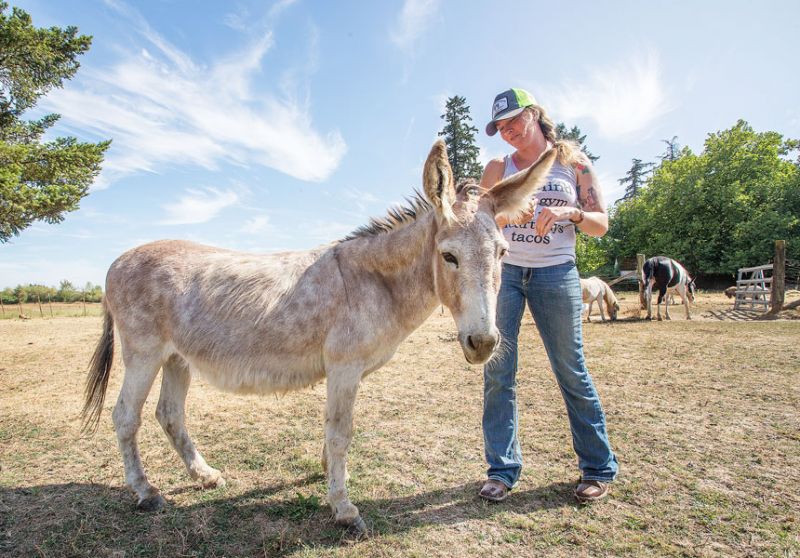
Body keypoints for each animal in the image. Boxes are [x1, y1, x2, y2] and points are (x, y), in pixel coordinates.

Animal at [79, 139, 556, 532]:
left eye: (503, 253)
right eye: (449, 256)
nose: (484, 343)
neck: (376, 281)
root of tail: (116, 259)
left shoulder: (348, 373)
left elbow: (333, 431)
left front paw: (329, 476)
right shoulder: (344, 367)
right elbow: (341, 431)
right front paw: (344, 509)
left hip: (177, 357)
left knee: (170, 415)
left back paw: (205, 476)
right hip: (143, 353)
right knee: (126, 415)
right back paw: (145, 492)